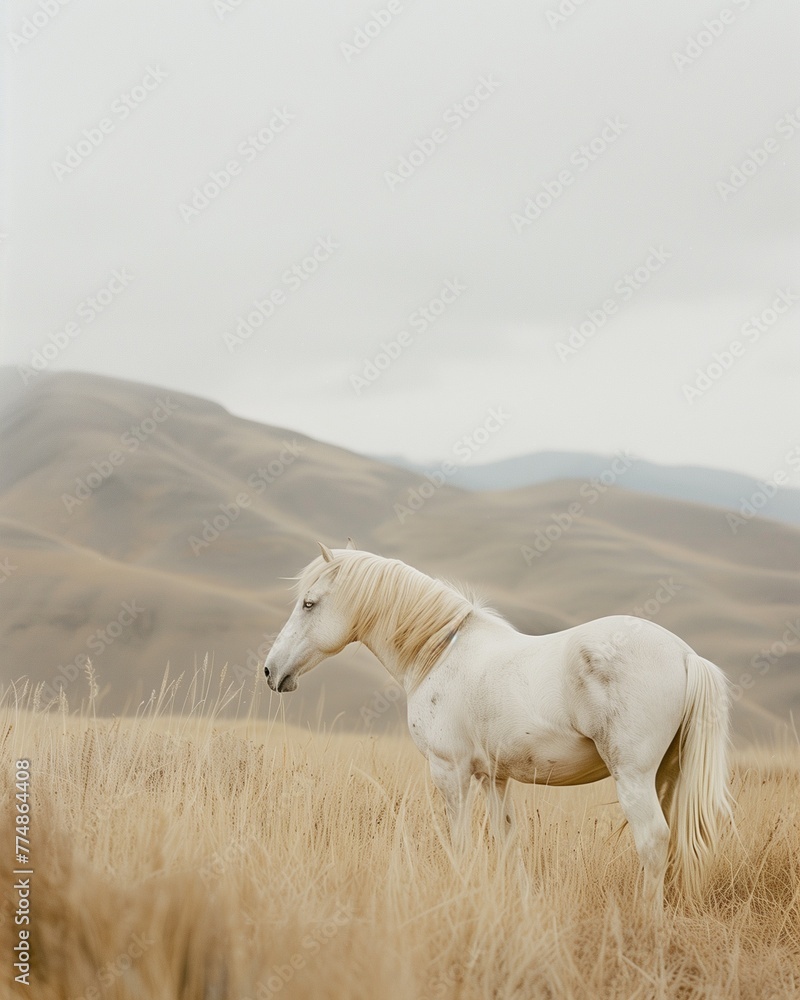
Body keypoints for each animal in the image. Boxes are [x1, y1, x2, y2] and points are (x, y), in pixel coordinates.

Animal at [264, 542, 734, 909]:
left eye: (309, 603)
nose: (270, 671)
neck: (439, 653)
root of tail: (686, 656)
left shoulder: (449, 771)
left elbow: (460, 842)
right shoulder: (494, 777)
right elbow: (507, 841)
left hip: (633, 776)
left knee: (652, 841)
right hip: (666, 775)